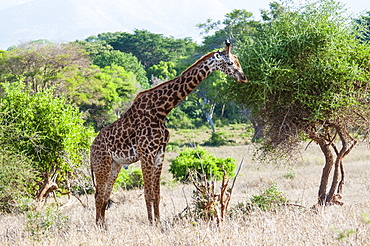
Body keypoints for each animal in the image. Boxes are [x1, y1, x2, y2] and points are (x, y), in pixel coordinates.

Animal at [89, 39, 246, 226]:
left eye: (237, 61)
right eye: (230, 63)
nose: (243, 78)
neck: (162, 110)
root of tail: (91, 149)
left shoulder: (159, 153)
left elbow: (156, 194)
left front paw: (158, 223)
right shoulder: (146, 153)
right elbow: (148, 193)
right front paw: (151, 224)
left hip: (115, 165)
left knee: (105, 195)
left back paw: (103, 226)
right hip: (102, 164)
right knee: (98, 196)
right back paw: (99, 227)